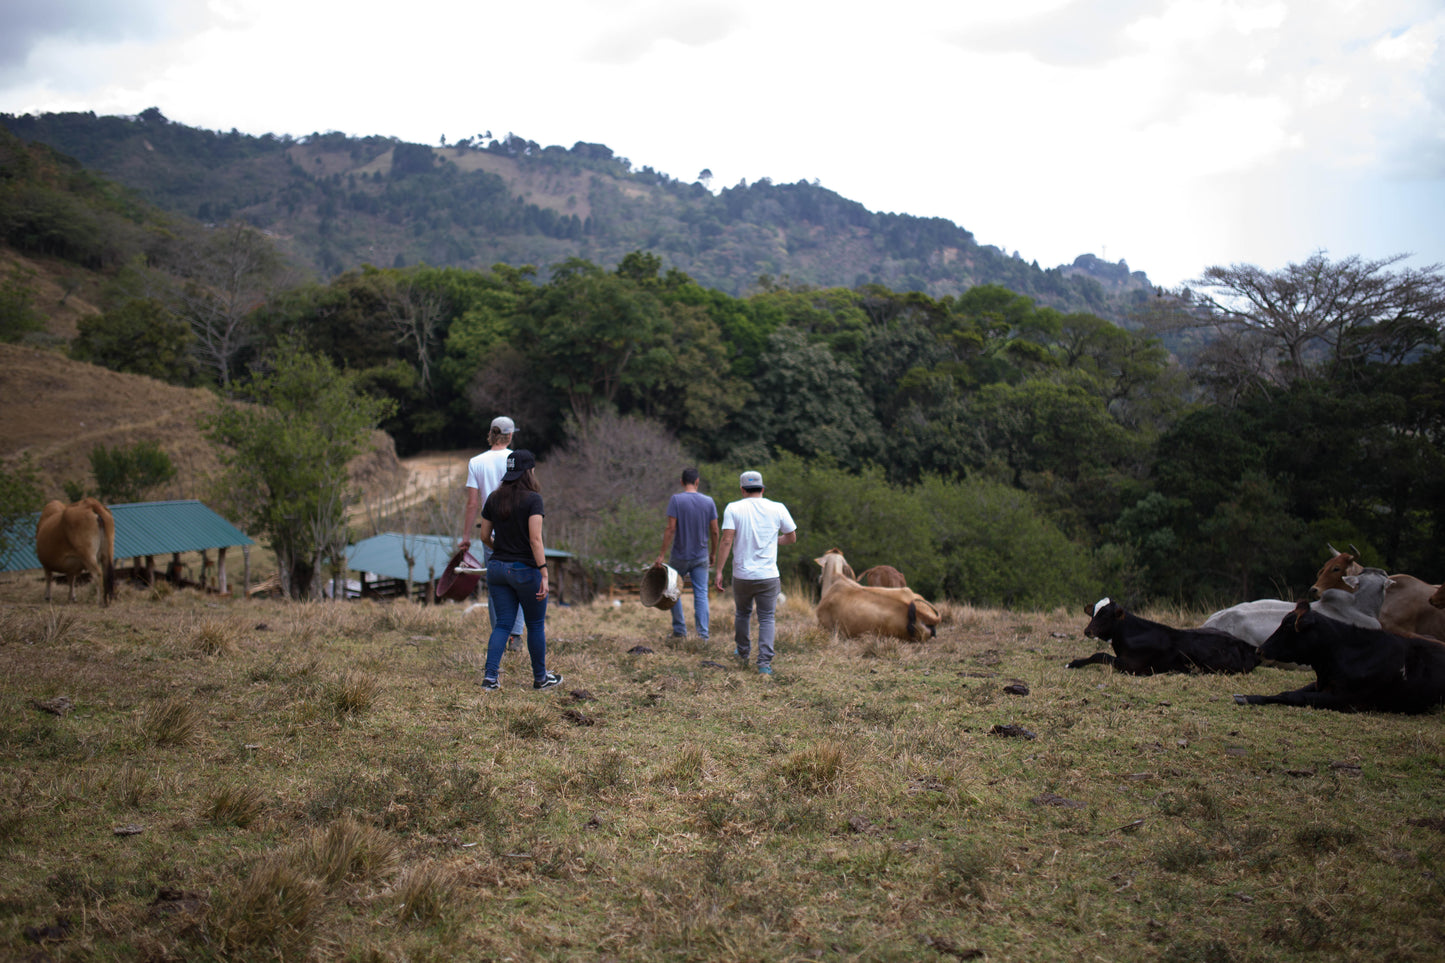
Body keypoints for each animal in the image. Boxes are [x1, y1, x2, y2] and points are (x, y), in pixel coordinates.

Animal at [1069, 595, 1260, 670]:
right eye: (1093, 613)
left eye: (1105, 615)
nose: (1087, 631)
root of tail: (1248, 646)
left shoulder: (1131, 665)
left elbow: (1100, 655)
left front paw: (1074, 663)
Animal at [1231, 601, 1445, 711]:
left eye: (1287, 628)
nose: (1260, 650)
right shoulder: (1321, 684)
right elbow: (1287, 692)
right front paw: (1248, 697)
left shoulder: (1343, 698)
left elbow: (1295, 696)